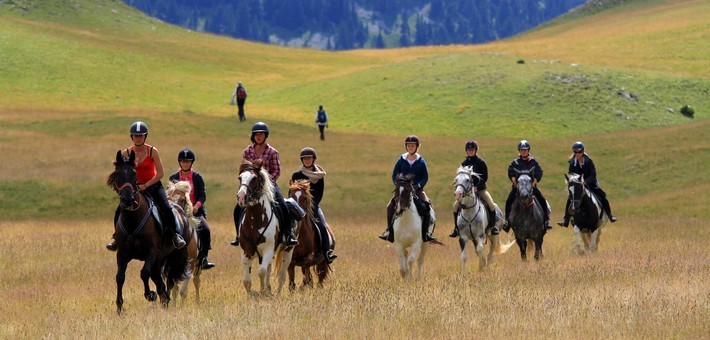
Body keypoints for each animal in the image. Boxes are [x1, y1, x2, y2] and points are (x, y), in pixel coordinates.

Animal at [104, 150, 191, 314]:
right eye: (117, 174)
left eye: (134, 174)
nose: (127, 200)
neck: (133, 220)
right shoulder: (122, 253)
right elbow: (120, 277)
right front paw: (119, 307)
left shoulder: (151, 252)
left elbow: (144, 273)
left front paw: (150, 295)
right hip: (159, 259)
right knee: (159, 279)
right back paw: (164, 300)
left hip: (175, 256)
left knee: (169, 279)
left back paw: (164, 298)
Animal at [238, 159, 294, 294]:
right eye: (240, 177)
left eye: (254, 178)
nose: (241, 197)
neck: (255, 220)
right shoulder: (246, 250)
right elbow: (246, 280)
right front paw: (253, 294)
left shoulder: (269, 249)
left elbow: (261, 272)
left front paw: (262, 292)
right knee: (268, 268)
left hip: (288, 251)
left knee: (281, 276)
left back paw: (276, 293)